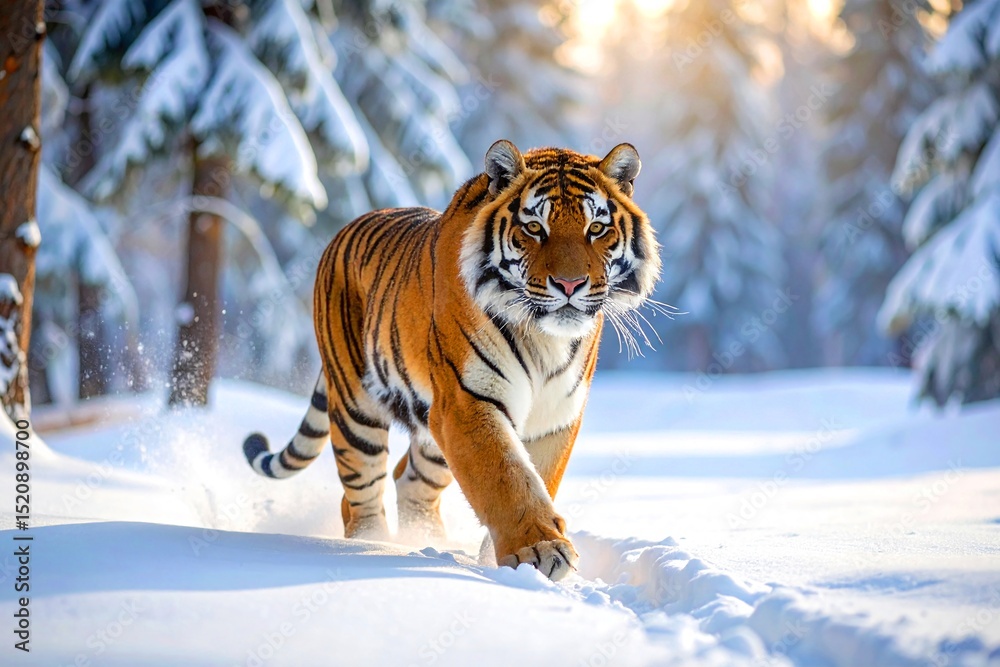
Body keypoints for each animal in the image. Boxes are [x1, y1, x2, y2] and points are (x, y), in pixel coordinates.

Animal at [242, 140, 660, 581]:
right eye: (534, 228)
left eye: (596, 229)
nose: (570, 284)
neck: (543, 338)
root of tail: (343, 231)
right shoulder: (466, 400)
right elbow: (506, 478)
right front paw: (539, 550)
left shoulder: (555, 416)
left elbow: (538, 477)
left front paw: (500, 560)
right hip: (356, 407)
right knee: (360, 492)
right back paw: (372, 545)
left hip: (430, 429)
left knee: (410, 481)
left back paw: (428, 542)